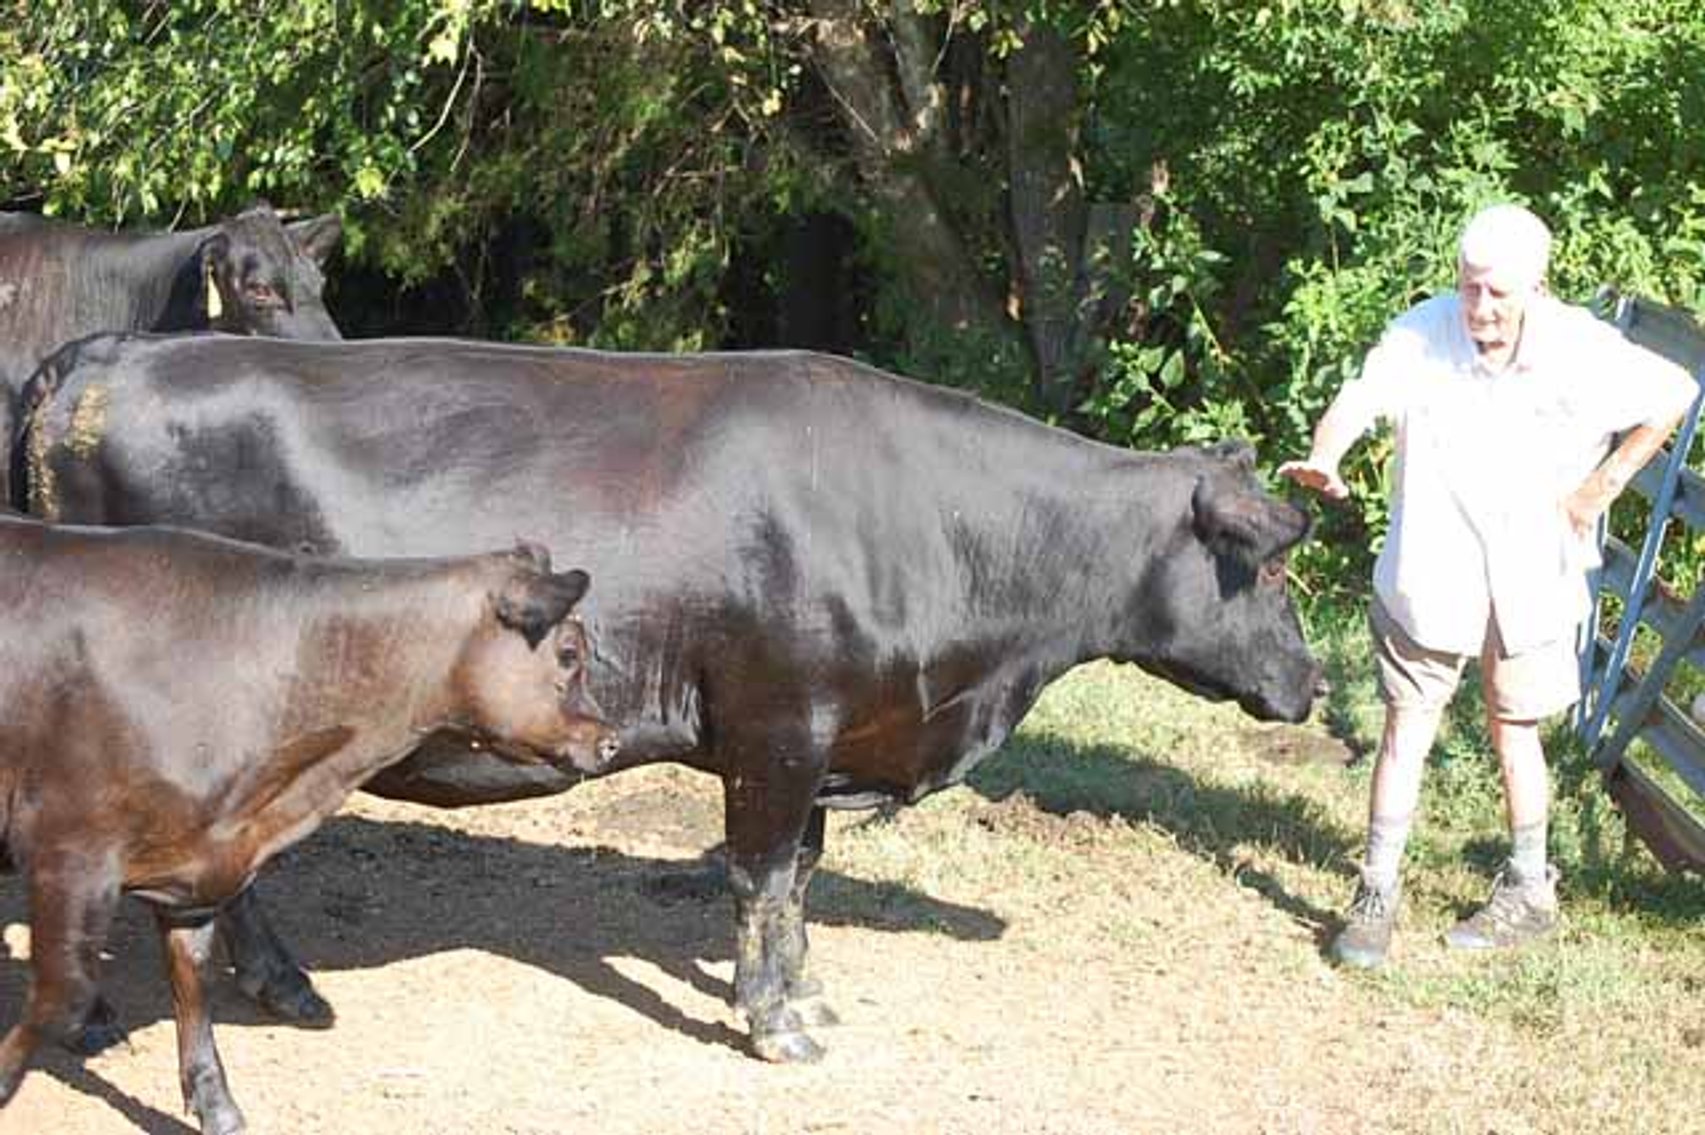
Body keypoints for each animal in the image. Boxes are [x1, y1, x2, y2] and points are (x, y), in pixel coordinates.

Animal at [0, 513, 614, 1134]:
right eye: (568, 653)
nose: (609, 740)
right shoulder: (68, 851)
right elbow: (61, 996)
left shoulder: (194, 864)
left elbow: (192, 981)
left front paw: (218, 1106)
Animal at [16, 331, 1322, 1063]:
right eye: (1267, 566)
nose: (1314, 683)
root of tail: (112, 351)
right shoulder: (778, 729)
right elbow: (758, 877)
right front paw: (770, 1023)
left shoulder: (817, 741)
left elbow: (798, 884)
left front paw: (804, 993)